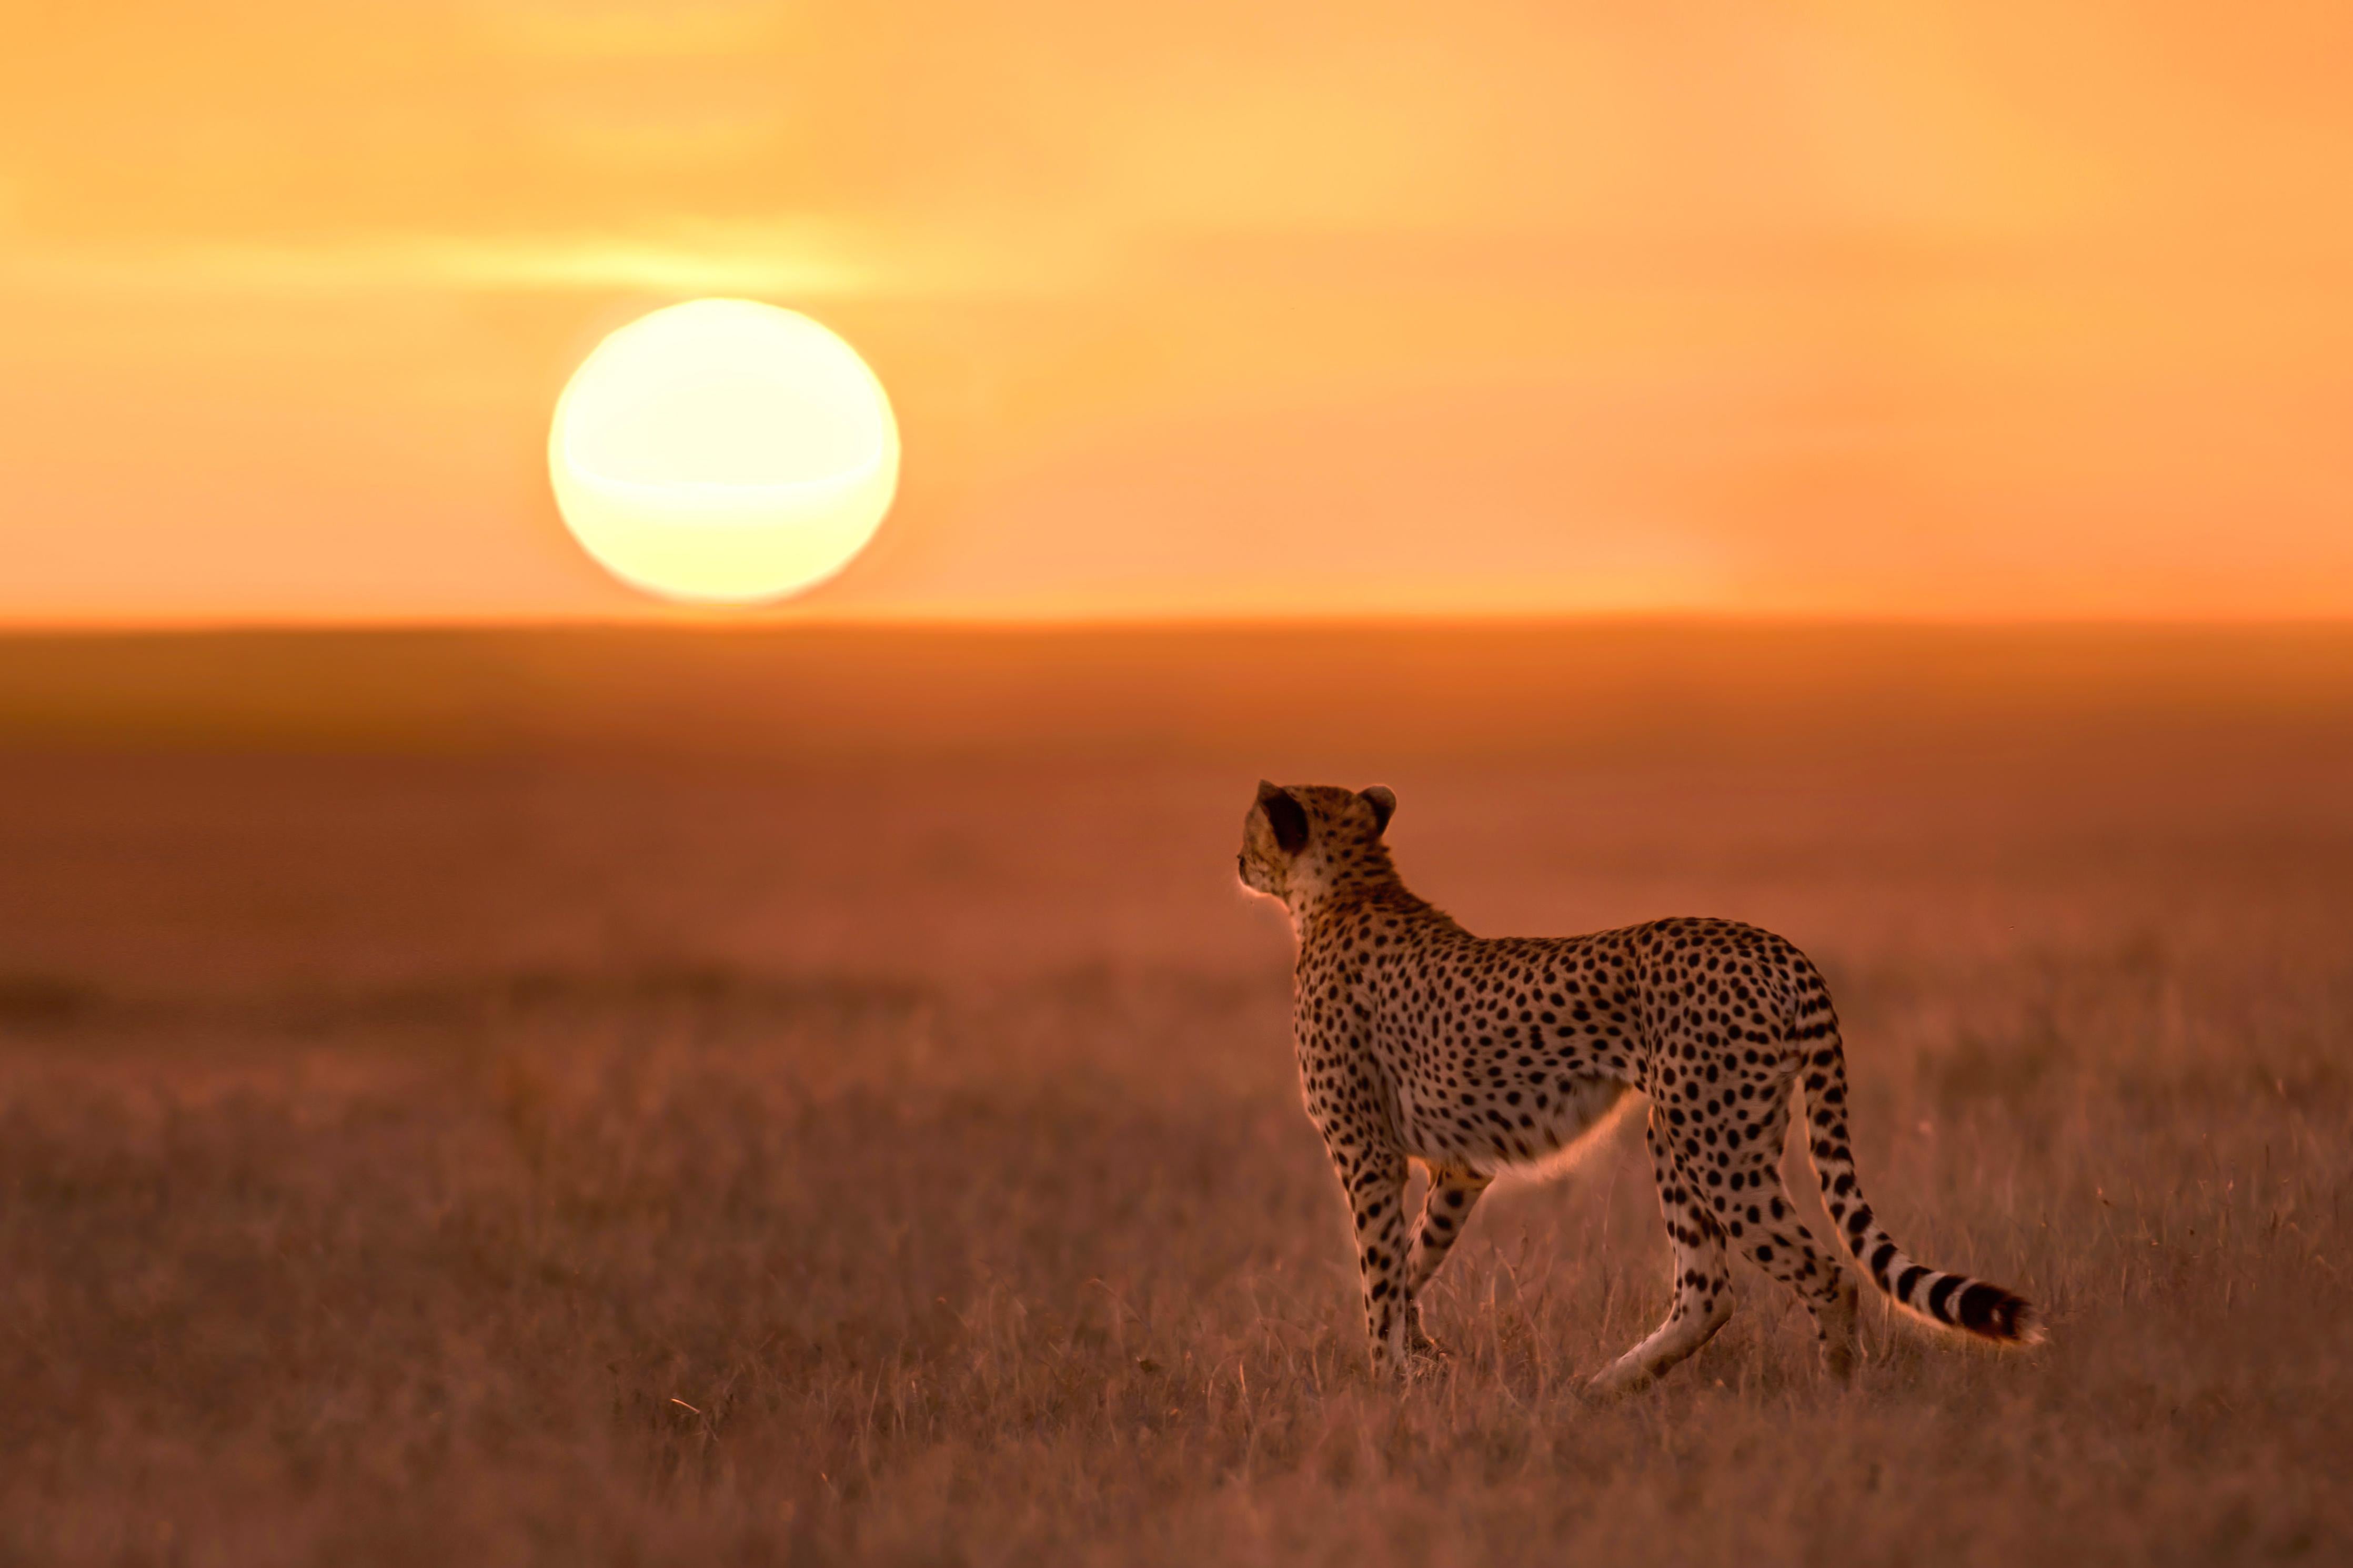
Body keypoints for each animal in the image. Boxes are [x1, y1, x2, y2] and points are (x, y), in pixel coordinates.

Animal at [1233, 780, 2042, 1391]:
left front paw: (1385, 1383)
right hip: (1680, 1129)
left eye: (1251, 828)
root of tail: (1776, 944)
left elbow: (1379, 1268)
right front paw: (1421, 1353)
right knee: (1708, 1290)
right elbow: (1412, 1260)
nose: (1236, 858)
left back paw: (1836, 1390)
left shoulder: (1365, 1152)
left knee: (1823, 1271)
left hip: (1716, 1143)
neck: (1349, 890)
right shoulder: (1459, 1166)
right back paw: (1604, 1387)